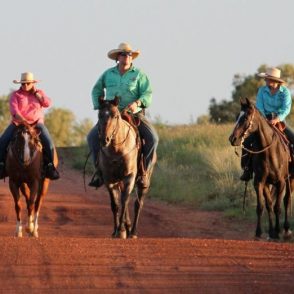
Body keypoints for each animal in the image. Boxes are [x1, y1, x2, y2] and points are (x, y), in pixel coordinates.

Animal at [97, 96, 156, 239]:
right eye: (99, 115)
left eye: (115, 116)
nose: (105, 140)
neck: (117, 150)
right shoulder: (109, 180)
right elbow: (115, 204)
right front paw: (117, 231)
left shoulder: (129, 177)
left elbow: (124, 202)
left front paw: (121, 229)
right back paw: (127, 228)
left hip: (142, 181)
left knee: (137, 203)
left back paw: (133, 232)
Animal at [229, 97, 292, 240]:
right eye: (237, 117)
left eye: (245, 117)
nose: (232, 139)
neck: (270, 152)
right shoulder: (260, 182)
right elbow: (264, 206)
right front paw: (264, 232)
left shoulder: (281, 182)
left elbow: (277, 207)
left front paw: (277, 232)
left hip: (289, 179)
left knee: (287, 200)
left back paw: (286, 229)